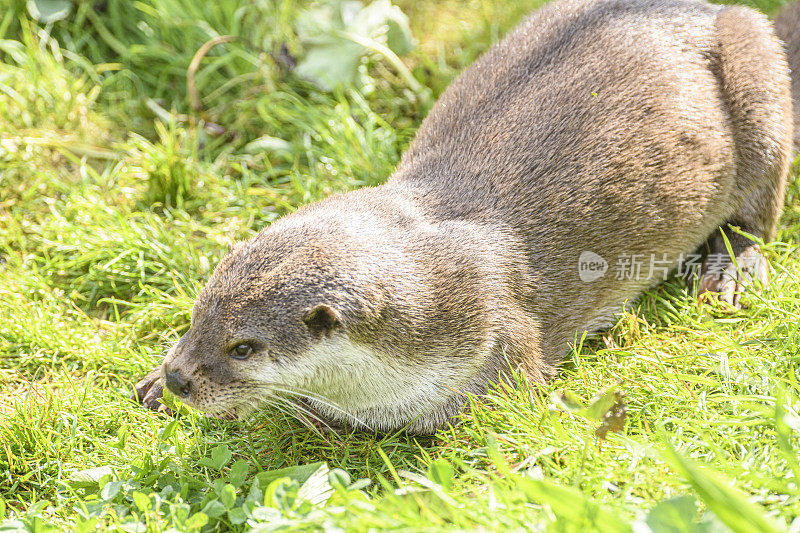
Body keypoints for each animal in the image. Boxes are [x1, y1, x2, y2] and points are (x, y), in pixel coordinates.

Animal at [134, 0, 796, 432]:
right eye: (197, 315)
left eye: (243, 348)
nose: (181, 378)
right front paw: (154, 384)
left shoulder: (502, 331)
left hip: (756, 75)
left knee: (760, 206)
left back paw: (731, 267)